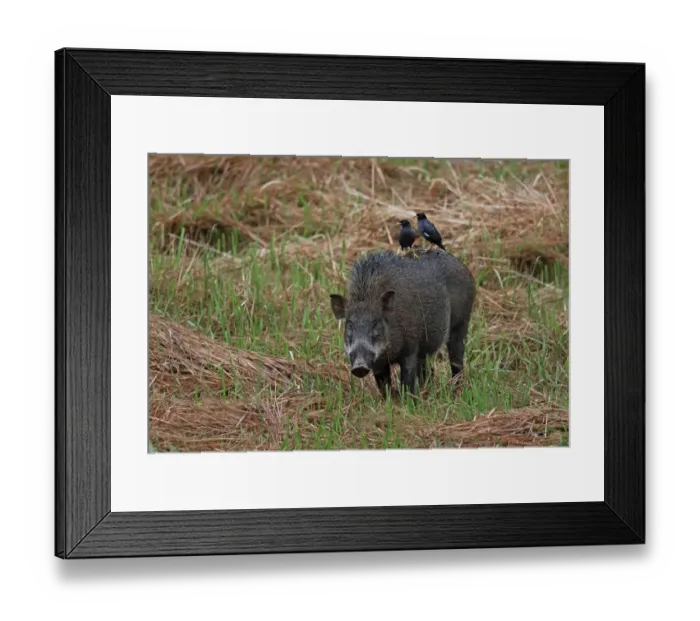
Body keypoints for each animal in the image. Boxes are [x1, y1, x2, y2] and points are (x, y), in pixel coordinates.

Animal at [329, 248, 476, 396]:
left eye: (376, 322)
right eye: (349, 324)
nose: (359, 367)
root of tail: (462, 265)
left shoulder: (410, 349)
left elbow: (407, 382)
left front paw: (408, 399)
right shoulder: (379, 365)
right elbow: (384, 387)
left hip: (461, 324)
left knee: (456, 361)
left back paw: (457, 390)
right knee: (428, 371)